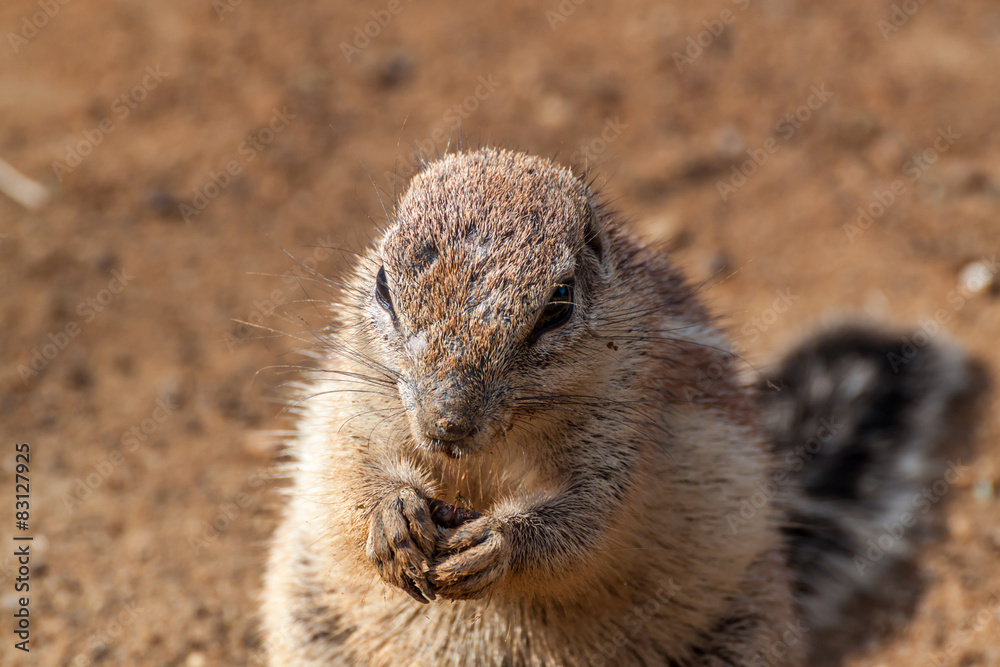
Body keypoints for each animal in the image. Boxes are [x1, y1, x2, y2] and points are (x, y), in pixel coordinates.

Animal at [261, 147, 981, 666]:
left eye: (557, 306)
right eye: (384, 287)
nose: (447, 424)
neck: (486, 456)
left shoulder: (622, 431)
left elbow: (586, 523)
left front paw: (498, 543)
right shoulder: (353, 405)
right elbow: (348, 475)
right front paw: (392, 518)